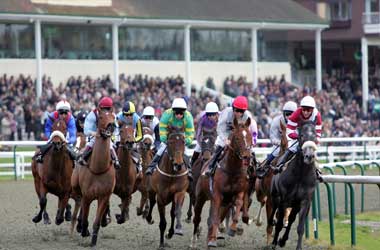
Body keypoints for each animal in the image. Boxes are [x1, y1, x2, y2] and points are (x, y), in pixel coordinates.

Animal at [70, 109, 116, 248]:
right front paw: (84, 230)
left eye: (113, 117)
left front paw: (93, 240)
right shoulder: (87, 196)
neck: (98, 168)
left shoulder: (103, 196)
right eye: (100, 117)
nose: (111, 125)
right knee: (79, 202)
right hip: (76, 188)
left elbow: (96, 222)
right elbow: (85, 217)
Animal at [191, 117, 254, 248]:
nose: (247, 156)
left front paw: (233, 229)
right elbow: (214, 218)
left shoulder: (239, 192)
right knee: (197, 218)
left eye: (250, 136)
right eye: (237, 138)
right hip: (200, 197)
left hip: (225, 202)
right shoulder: (217, 195)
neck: (232, 170)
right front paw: (212, 240)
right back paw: (194, 240)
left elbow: (238, 204)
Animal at [268, 120, 320, 249]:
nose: (309, 156)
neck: (301, 175)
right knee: (274, 212)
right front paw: (273, 243)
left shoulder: (305, 202)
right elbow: (279, 224)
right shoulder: (284, 200)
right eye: (301, 136)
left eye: (315, 136)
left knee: (291, 219)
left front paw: (297, 246)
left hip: (295, 205)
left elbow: (300, 227)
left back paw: (283, 240)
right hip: (275, 196)